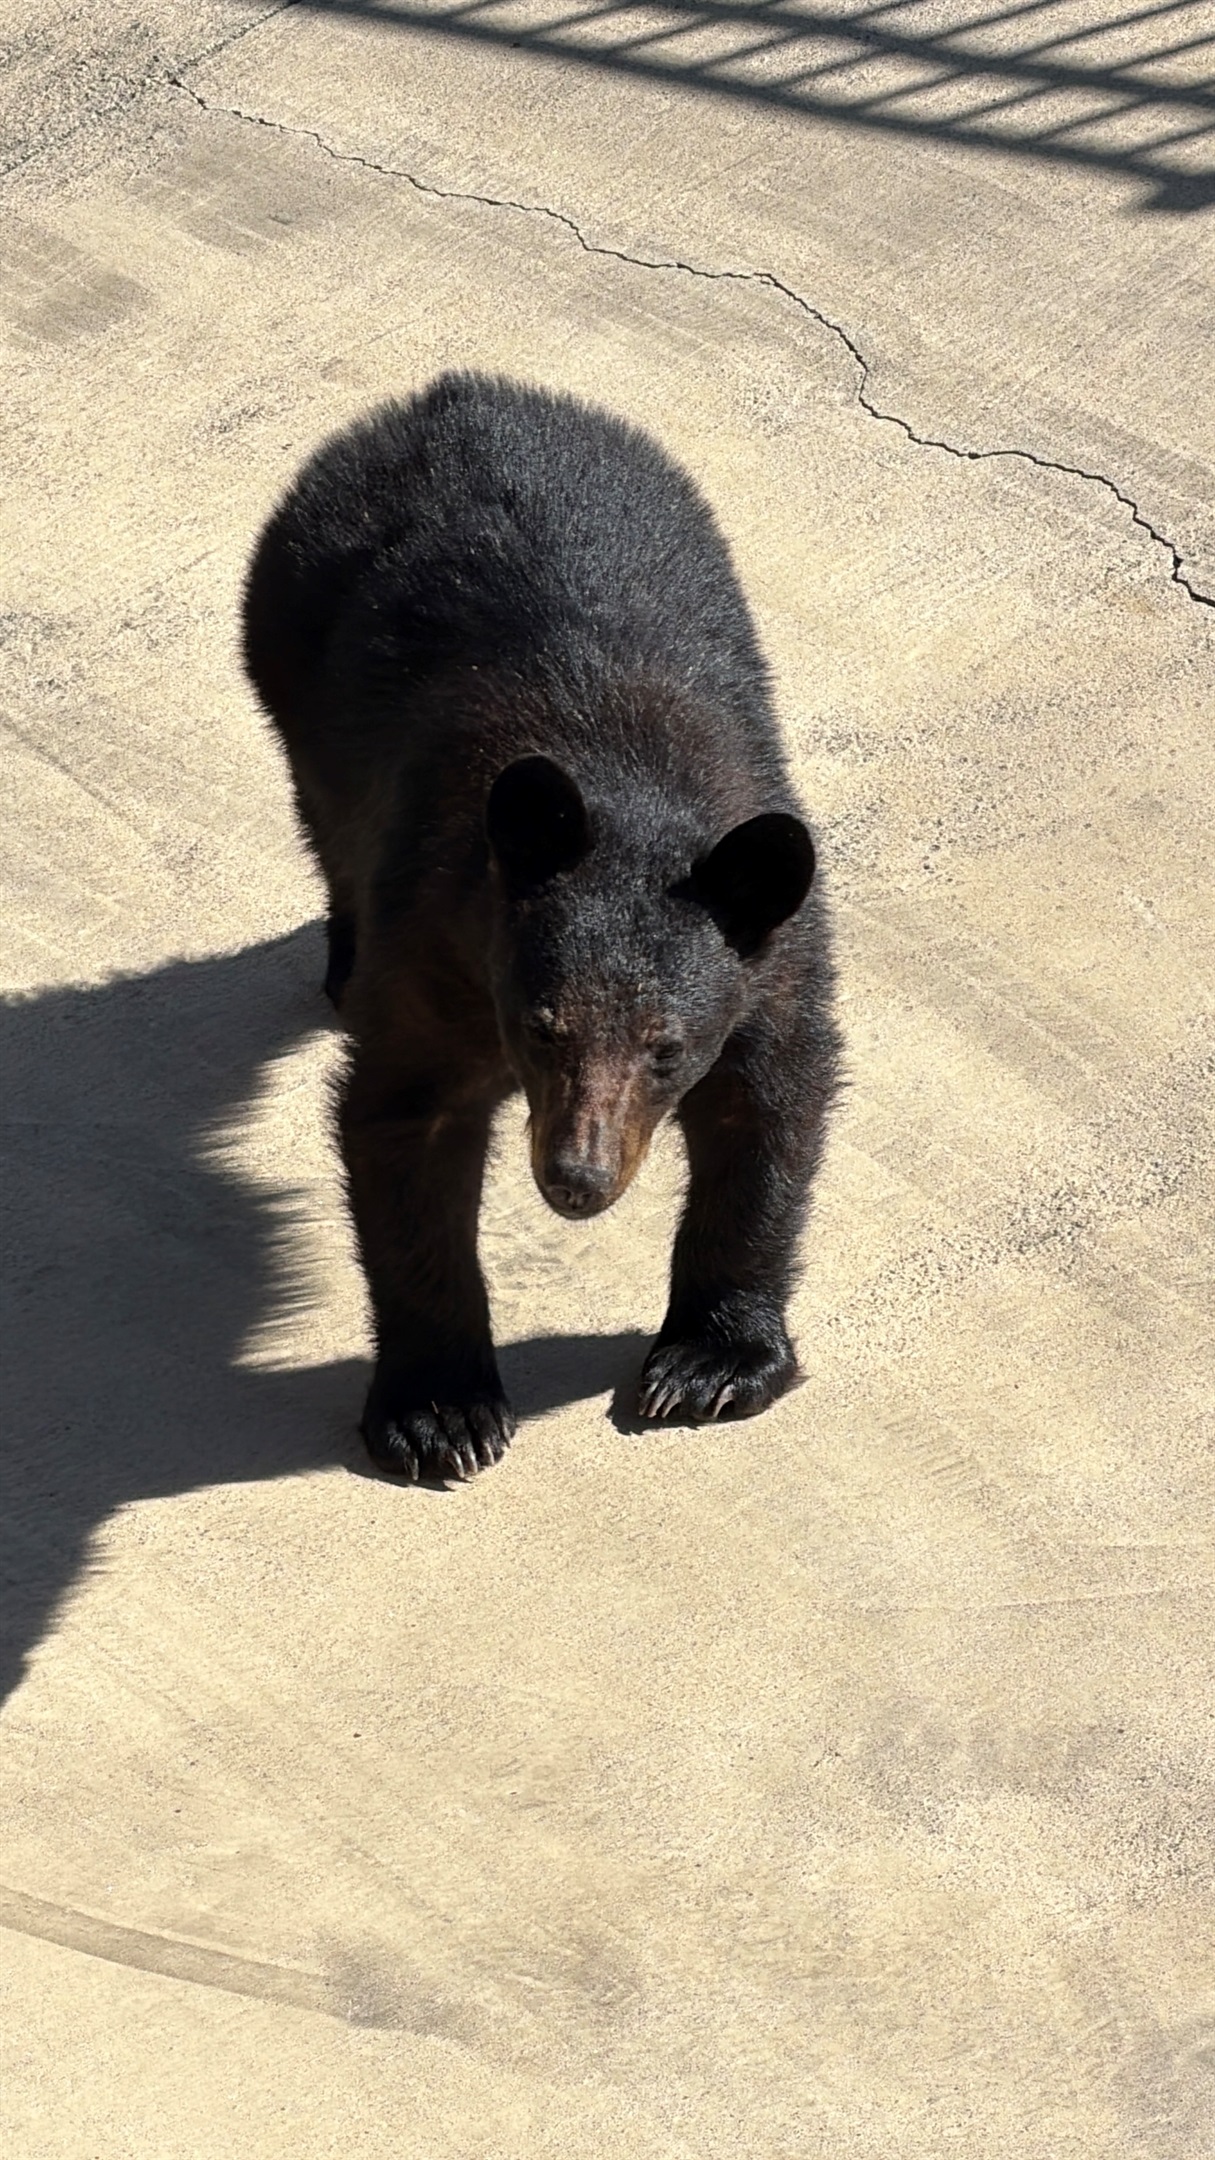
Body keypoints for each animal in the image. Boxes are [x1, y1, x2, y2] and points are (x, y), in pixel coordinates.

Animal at [242, 372, 840, 1482]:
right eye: (541, 1025)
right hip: (289, 657)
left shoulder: (775, 954)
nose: (577, 1180)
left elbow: (769, 1105)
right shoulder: (440, 941)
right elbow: (406, 1126)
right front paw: (443, 1410)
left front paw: (708, 1363)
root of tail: (453, 391)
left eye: (665, 1048)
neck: (627, 781)